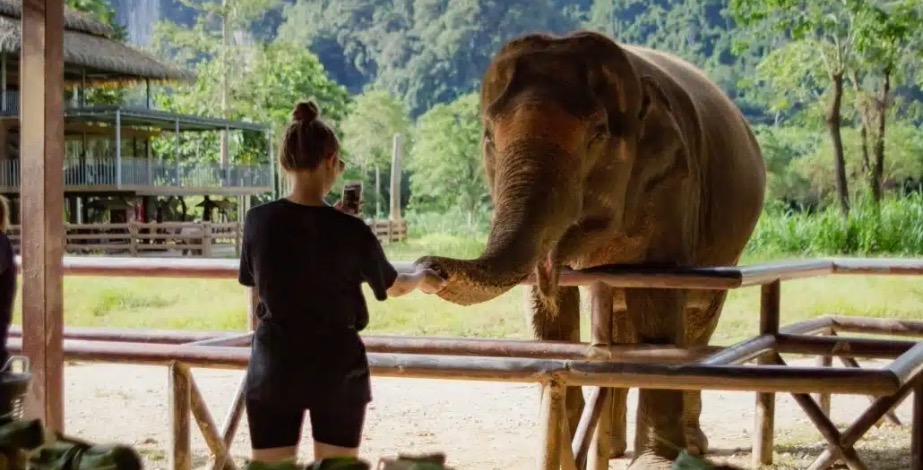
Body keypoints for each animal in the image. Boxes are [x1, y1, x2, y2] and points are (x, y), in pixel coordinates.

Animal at [415, 31, 766, 469]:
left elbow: (658, 305)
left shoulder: (674, 186)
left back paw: (692, 446)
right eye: (489, 137)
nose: (428, 265)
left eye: (597, 134)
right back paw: (613, 447)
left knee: (697, 324)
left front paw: (653, 462)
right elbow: (550, 320)